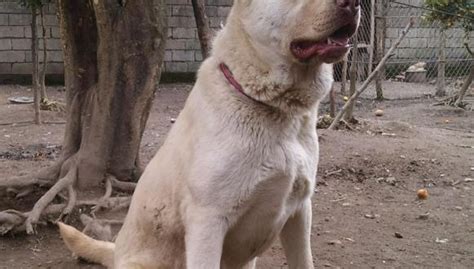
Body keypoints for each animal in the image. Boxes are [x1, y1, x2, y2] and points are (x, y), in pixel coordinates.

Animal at [61, 1, 362, 266]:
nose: (353, 2)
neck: (274, 108)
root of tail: (116, 253)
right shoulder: (208, 221)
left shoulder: (300, 211)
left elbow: (304, 260)